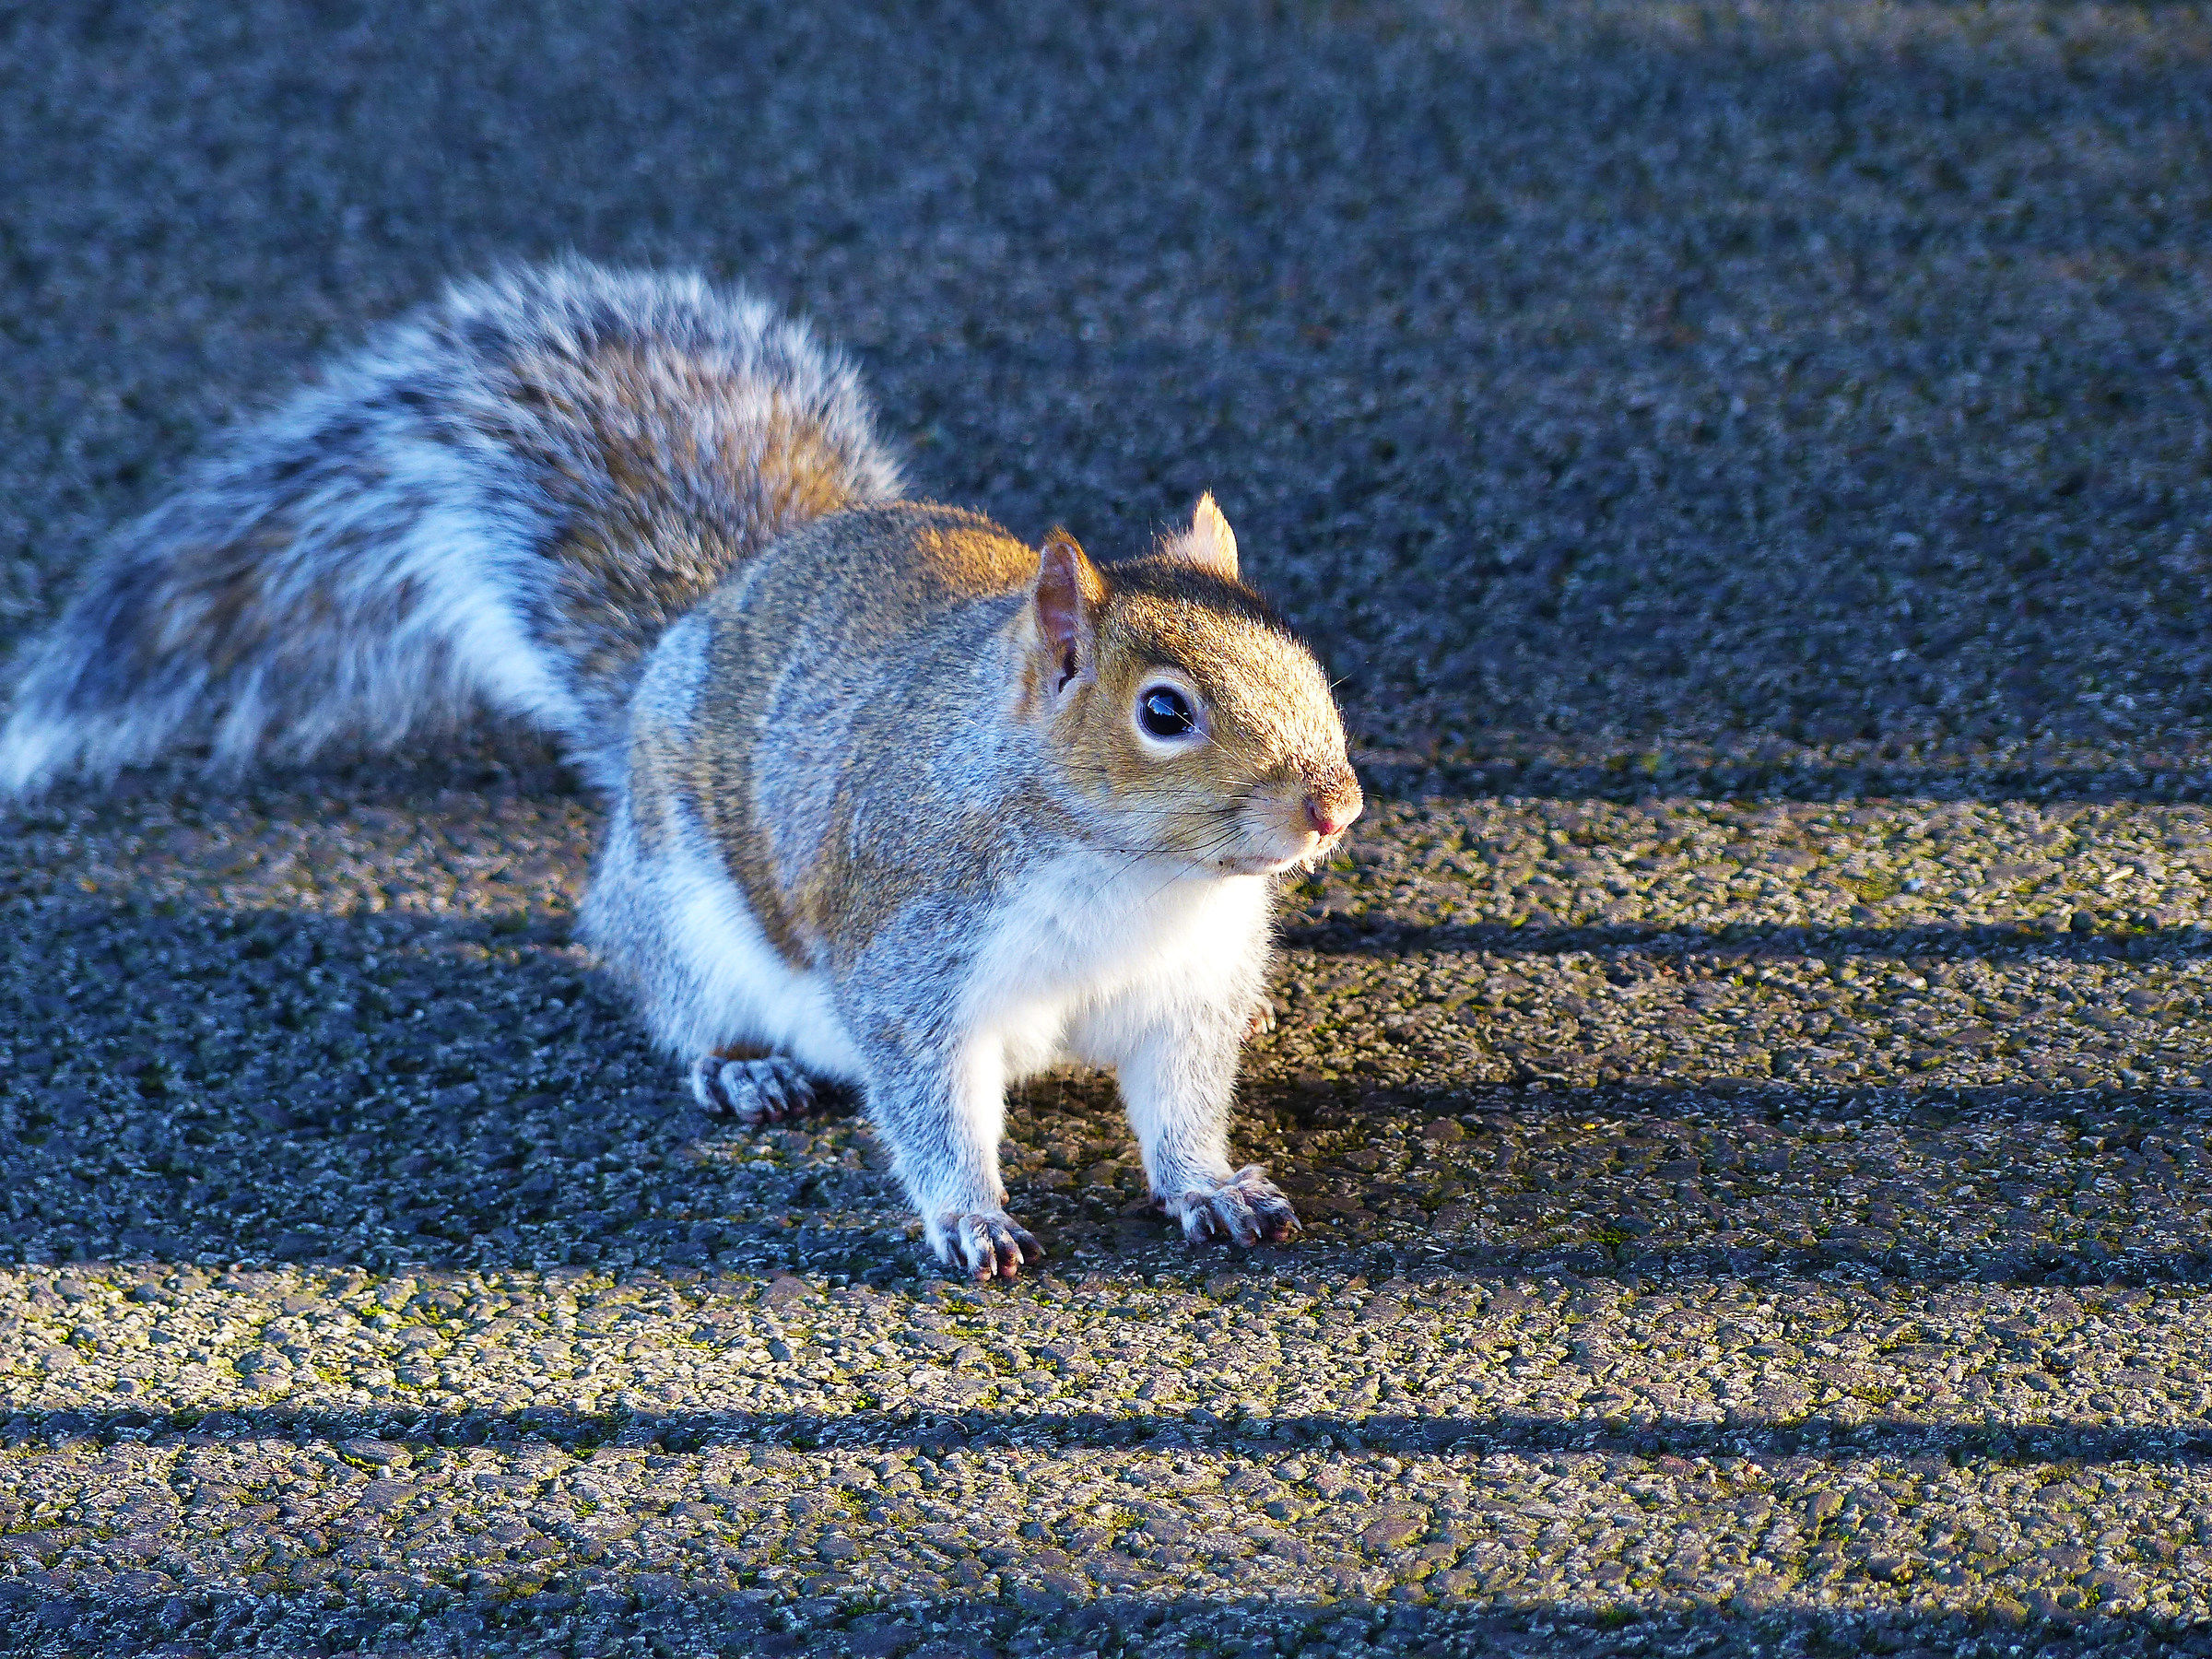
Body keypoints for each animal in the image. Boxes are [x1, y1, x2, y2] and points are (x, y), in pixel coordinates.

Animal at [0, 259, 1364, 1281]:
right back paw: (742, 1065)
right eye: (1164, 711)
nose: (1335, 806)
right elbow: (926, 1095)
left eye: (1304, 652)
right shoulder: (913, 954)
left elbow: (1181, 1100)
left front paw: (1211, 1186)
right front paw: (969, 1215)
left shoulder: (1188, 983)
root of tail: (696, 620)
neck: (1131, 875)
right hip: (682, 909)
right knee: (662, 981)